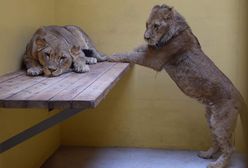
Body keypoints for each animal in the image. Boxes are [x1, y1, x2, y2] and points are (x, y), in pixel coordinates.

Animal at [107, 3, 247, 168]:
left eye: (156, 26)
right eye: (147, 24)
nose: (146, 36)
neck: (170, 33)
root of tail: (240, 96)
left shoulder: (154, 60)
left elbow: (131, 55)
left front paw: (111, 55)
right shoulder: (151, 51)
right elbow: (137, 48)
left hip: (220, 122)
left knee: (229, 147)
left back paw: (217, 164)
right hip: (210, 118)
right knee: (217, 142)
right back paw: (207, 154)